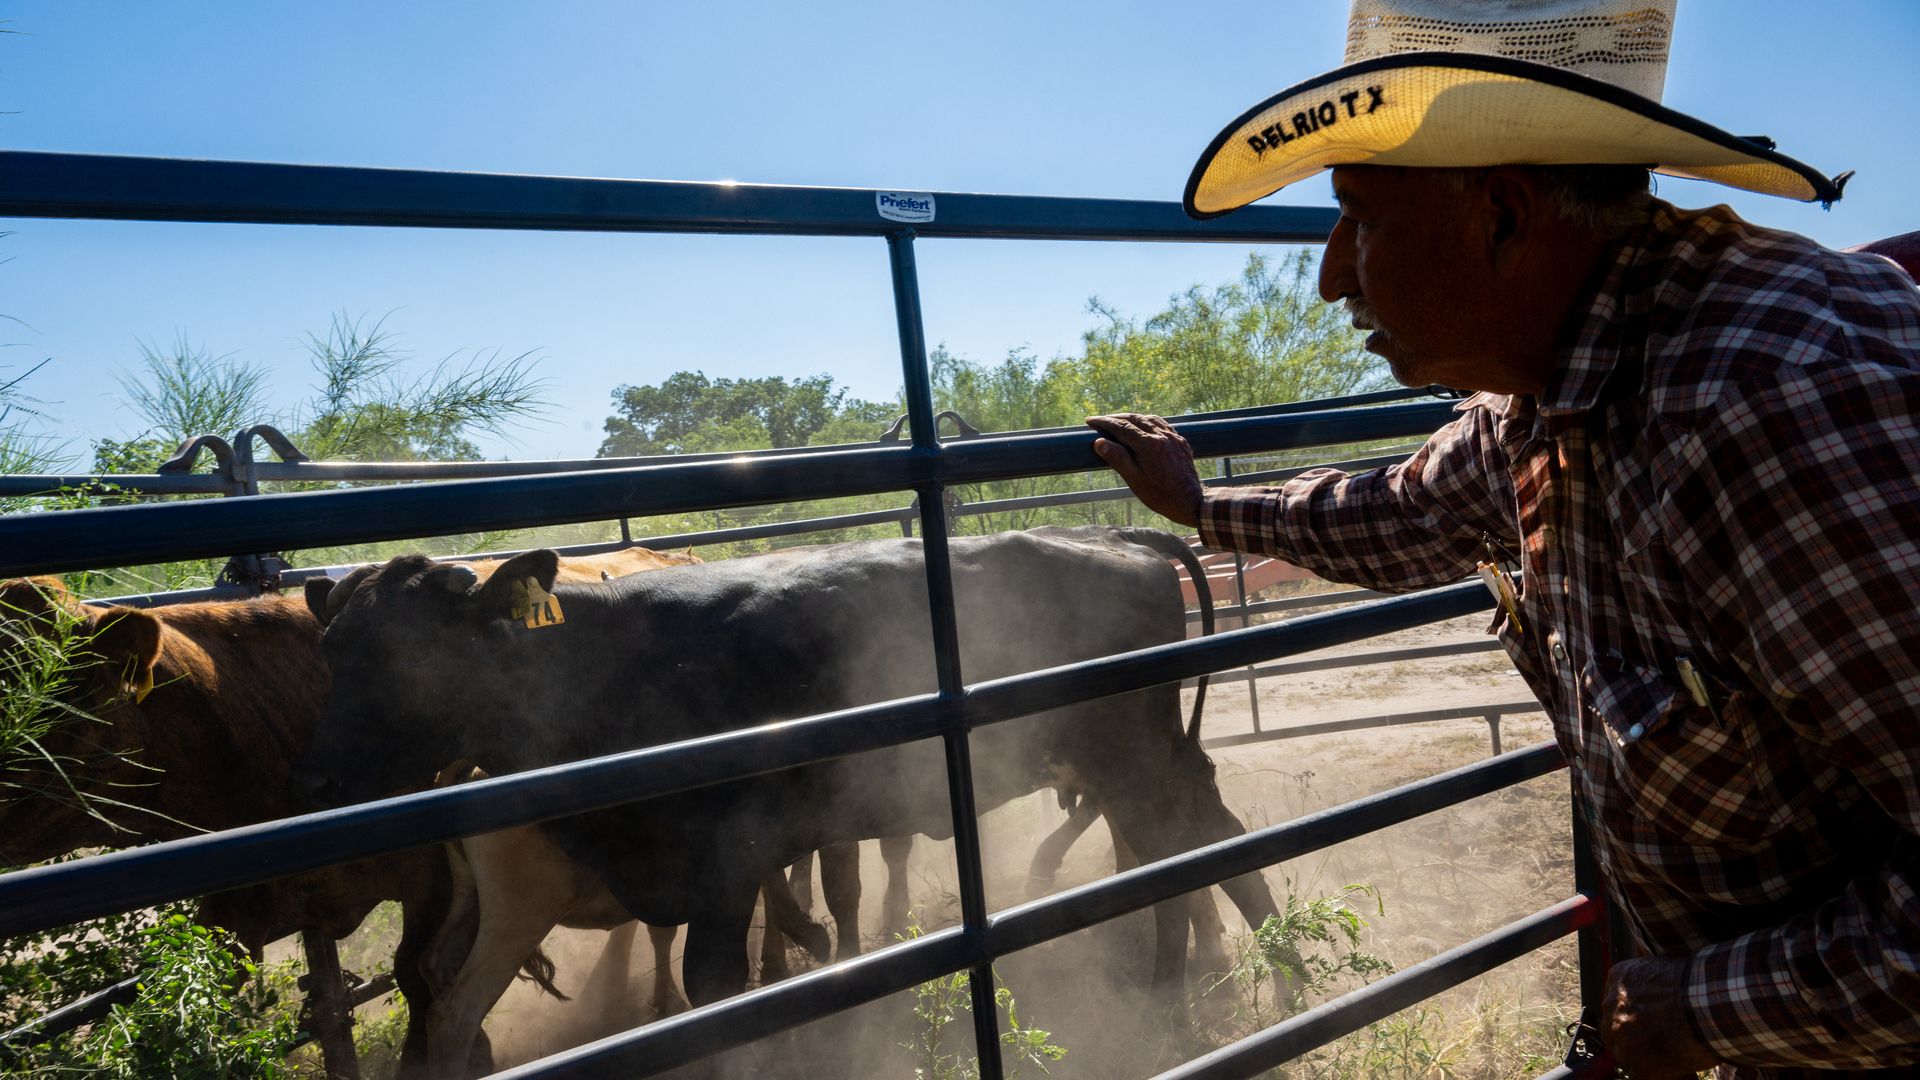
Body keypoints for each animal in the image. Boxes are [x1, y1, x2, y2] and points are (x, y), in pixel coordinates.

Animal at [300, 526, 1283, 1045]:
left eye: (408, 658)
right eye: (331, 650)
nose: (324, 779)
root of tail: (1111, 535)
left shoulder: (725, 865)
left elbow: (716, 985)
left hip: (1132, 758)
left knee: (1186, 847)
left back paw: (1204, 990)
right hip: (1140, 761)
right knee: (1197, 843)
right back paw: (1233, 983)